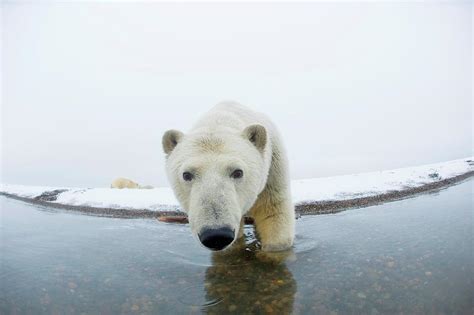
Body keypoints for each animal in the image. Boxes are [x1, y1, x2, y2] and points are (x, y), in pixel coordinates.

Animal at [164, 102, 296, 253]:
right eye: (186, 175)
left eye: (238, 172)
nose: (216, 235)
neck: (222, 117)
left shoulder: (273, 169)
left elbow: (273, 212)